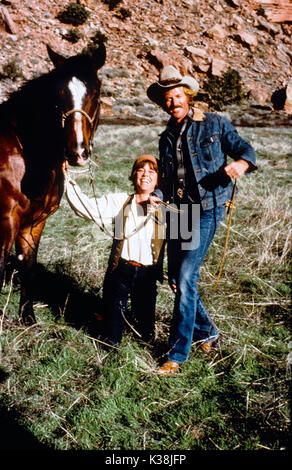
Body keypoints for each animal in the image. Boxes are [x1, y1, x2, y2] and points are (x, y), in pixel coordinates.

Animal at [0, 42, 106, 324]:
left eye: (96, 92)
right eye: (58, 96)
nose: (77, 152)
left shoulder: (34, 222)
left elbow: (28, 266)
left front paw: (27, 317)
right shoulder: (6, 221)